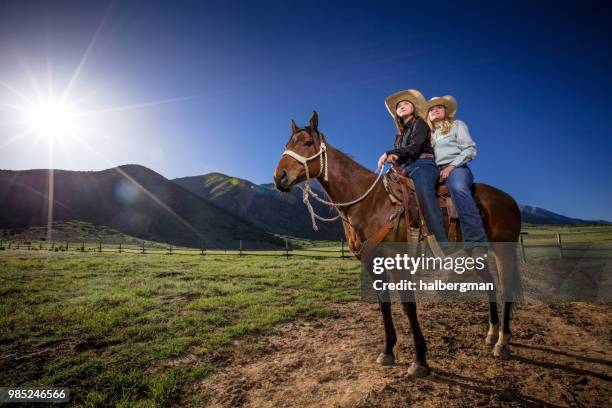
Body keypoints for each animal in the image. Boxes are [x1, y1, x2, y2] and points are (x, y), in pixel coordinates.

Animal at [274, 111, 524, 376]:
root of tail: (509, 200)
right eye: (287, 144)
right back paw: (492, 334)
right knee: (490, 284)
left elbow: (408, 306)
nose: (279, 177)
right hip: (474, 252)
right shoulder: (372, 261)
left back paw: (502, 343)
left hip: (503, 251)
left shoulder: (398, 260)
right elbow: (384, 304)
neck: (370, 201)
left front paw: (420, 360)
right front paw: (387, 351)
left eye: (307, 143)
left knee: (505, 288)